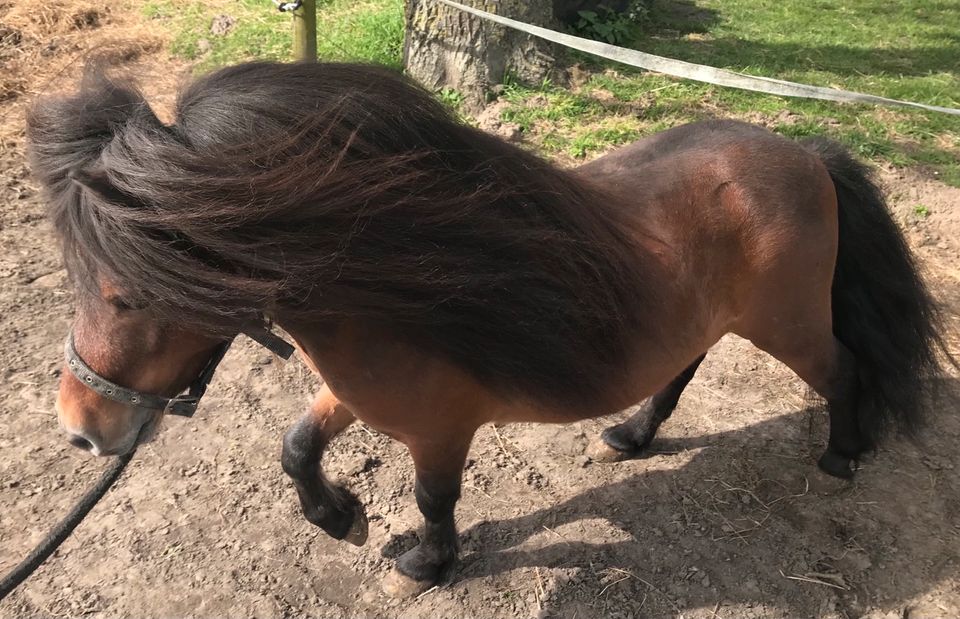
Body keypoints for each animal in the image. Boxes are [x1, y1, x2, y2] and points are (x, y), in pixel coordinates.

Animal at [26, 61, 948, 596]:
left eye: (126, 294)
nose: (79, 429)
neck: (393, 280)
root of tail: (806, 153)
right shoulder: (353, 392)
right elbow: (295, 444)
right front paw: (342, 517)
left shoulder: (441, 428)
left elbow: (435, 498)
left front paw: (425, 566)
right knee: (682, 369)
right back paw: (631, 435)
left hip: (787, 323)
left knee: (844, 370)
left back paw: (842, 455)